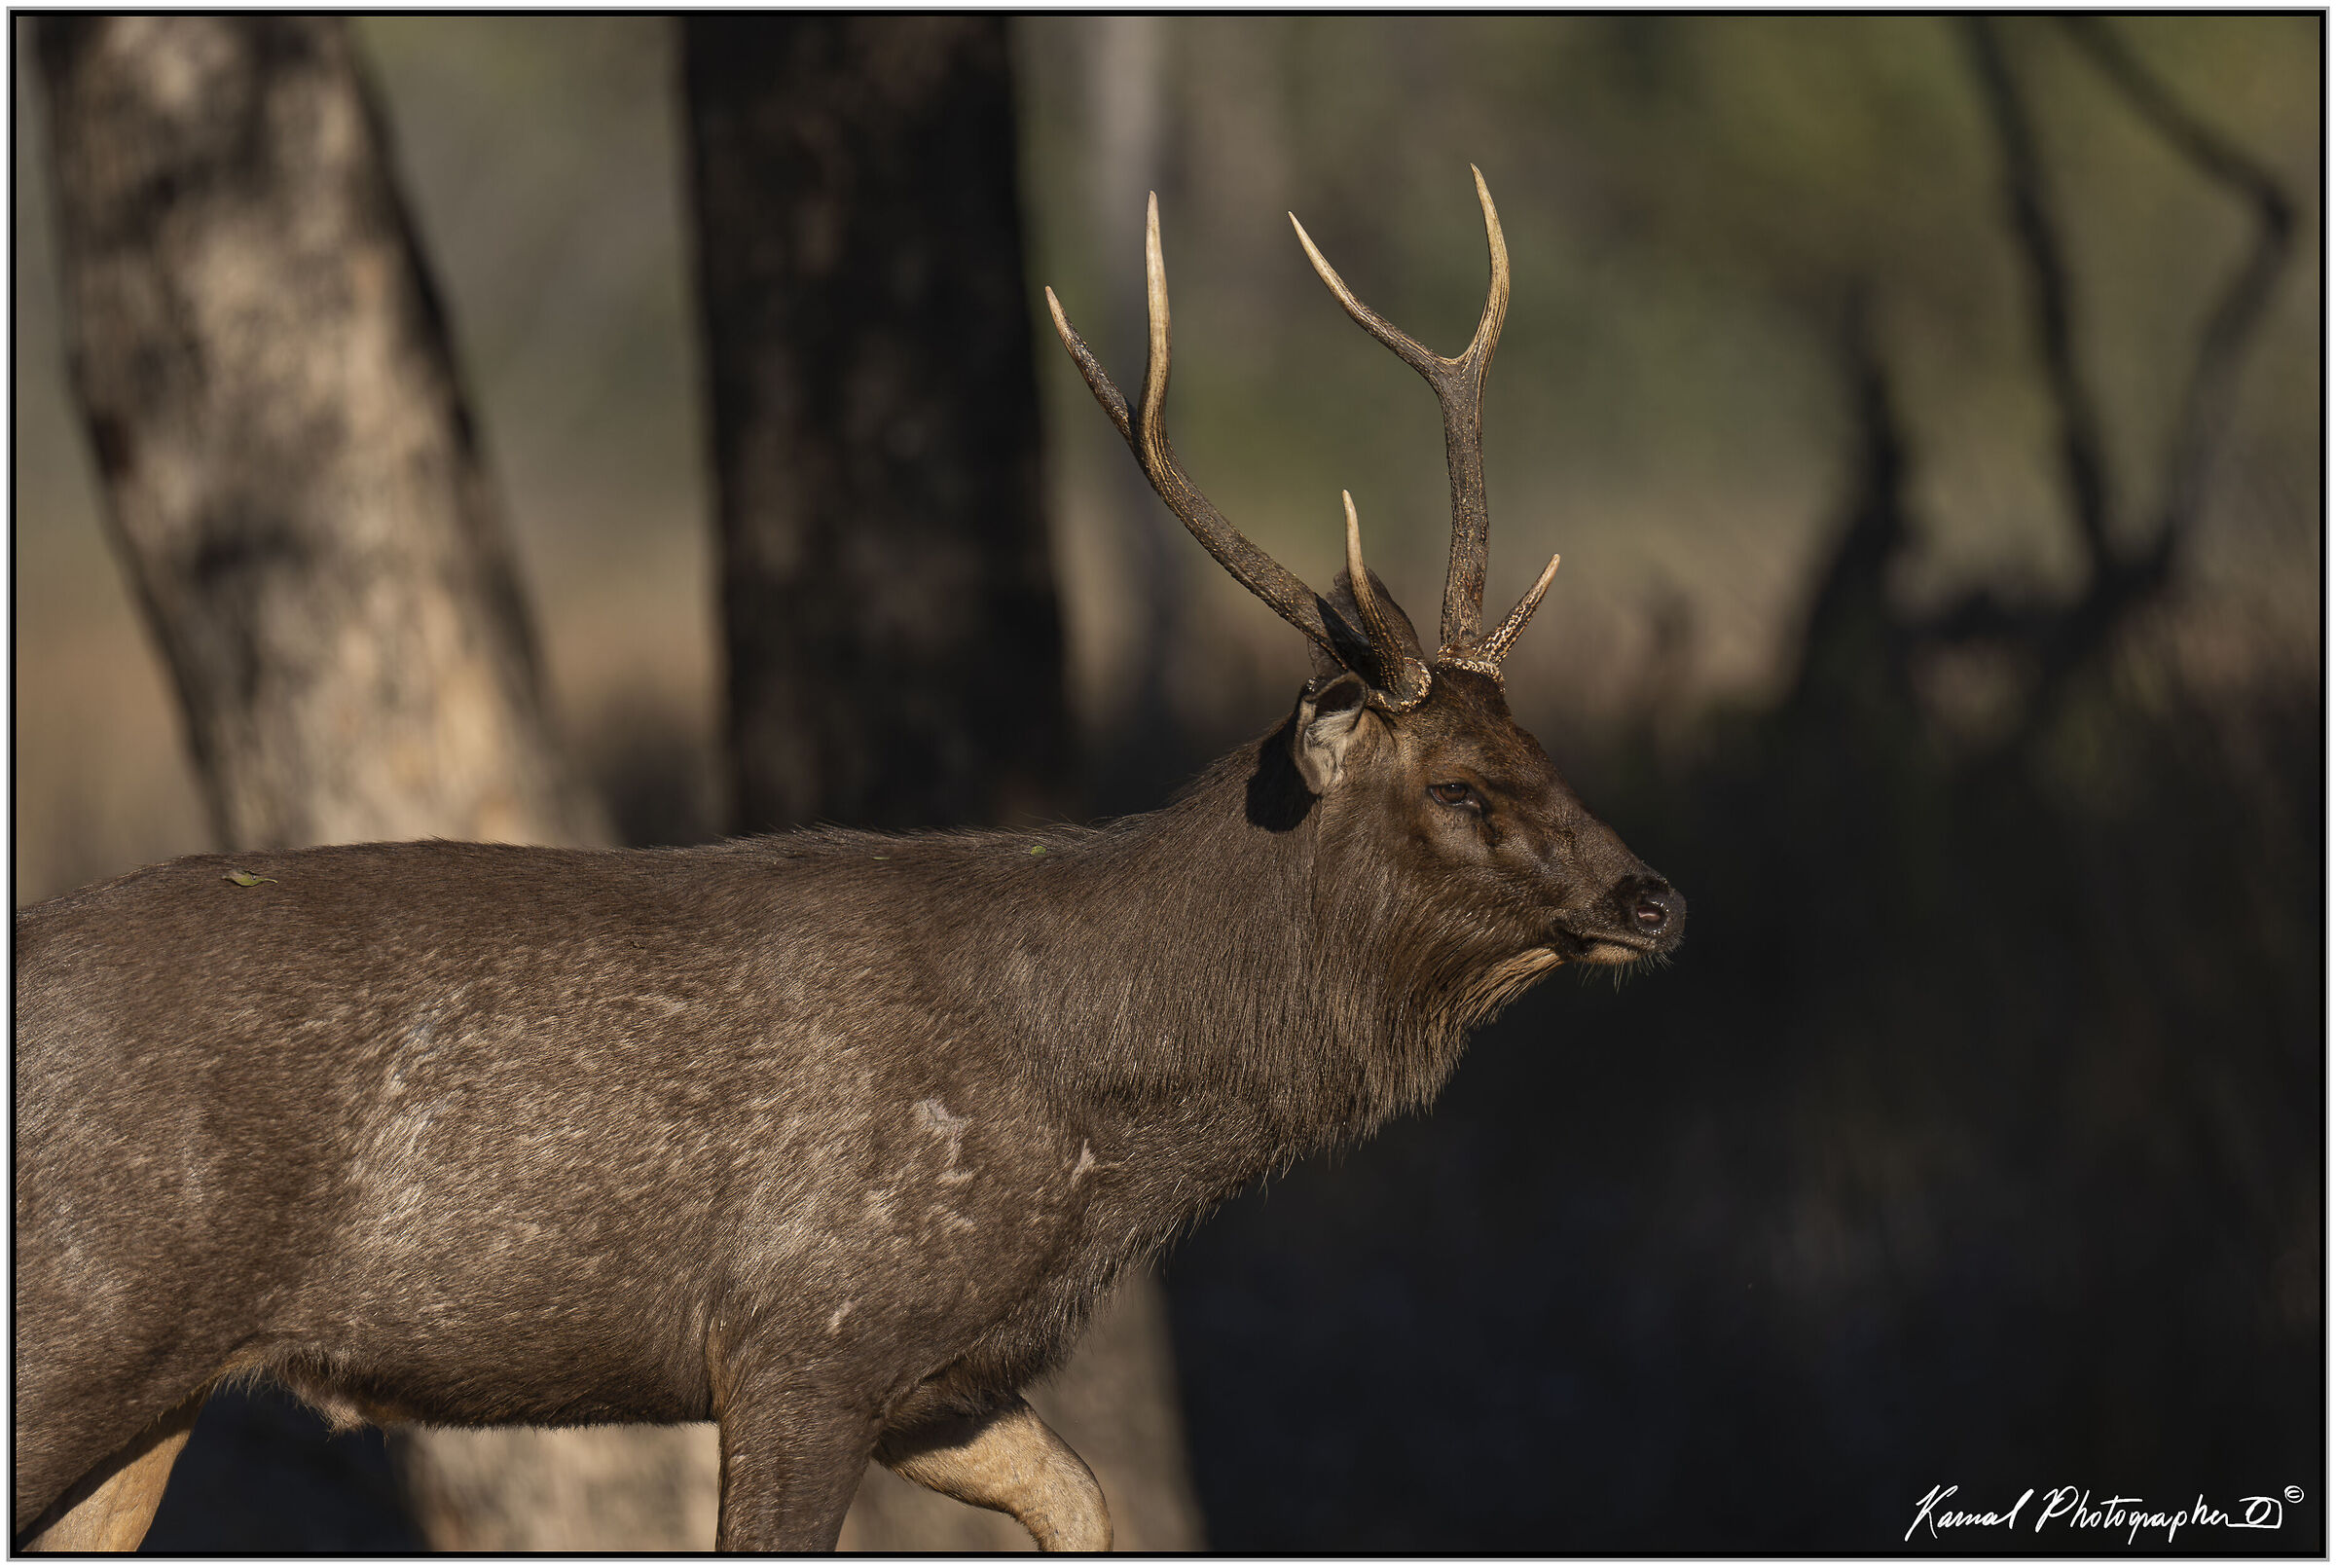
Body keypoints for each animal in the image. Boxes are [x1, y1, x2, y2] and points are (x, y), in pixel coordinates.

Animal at [14, 167, 1681, 1553]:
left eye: (1540, 743)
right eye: (1459, 784)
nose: (1650, 895)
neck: (1109, 1123)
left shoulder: (945, 1375)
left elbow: (1094, 1507)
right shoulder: (803, 1324)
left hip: (156, 1374)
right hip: (85, 1305)